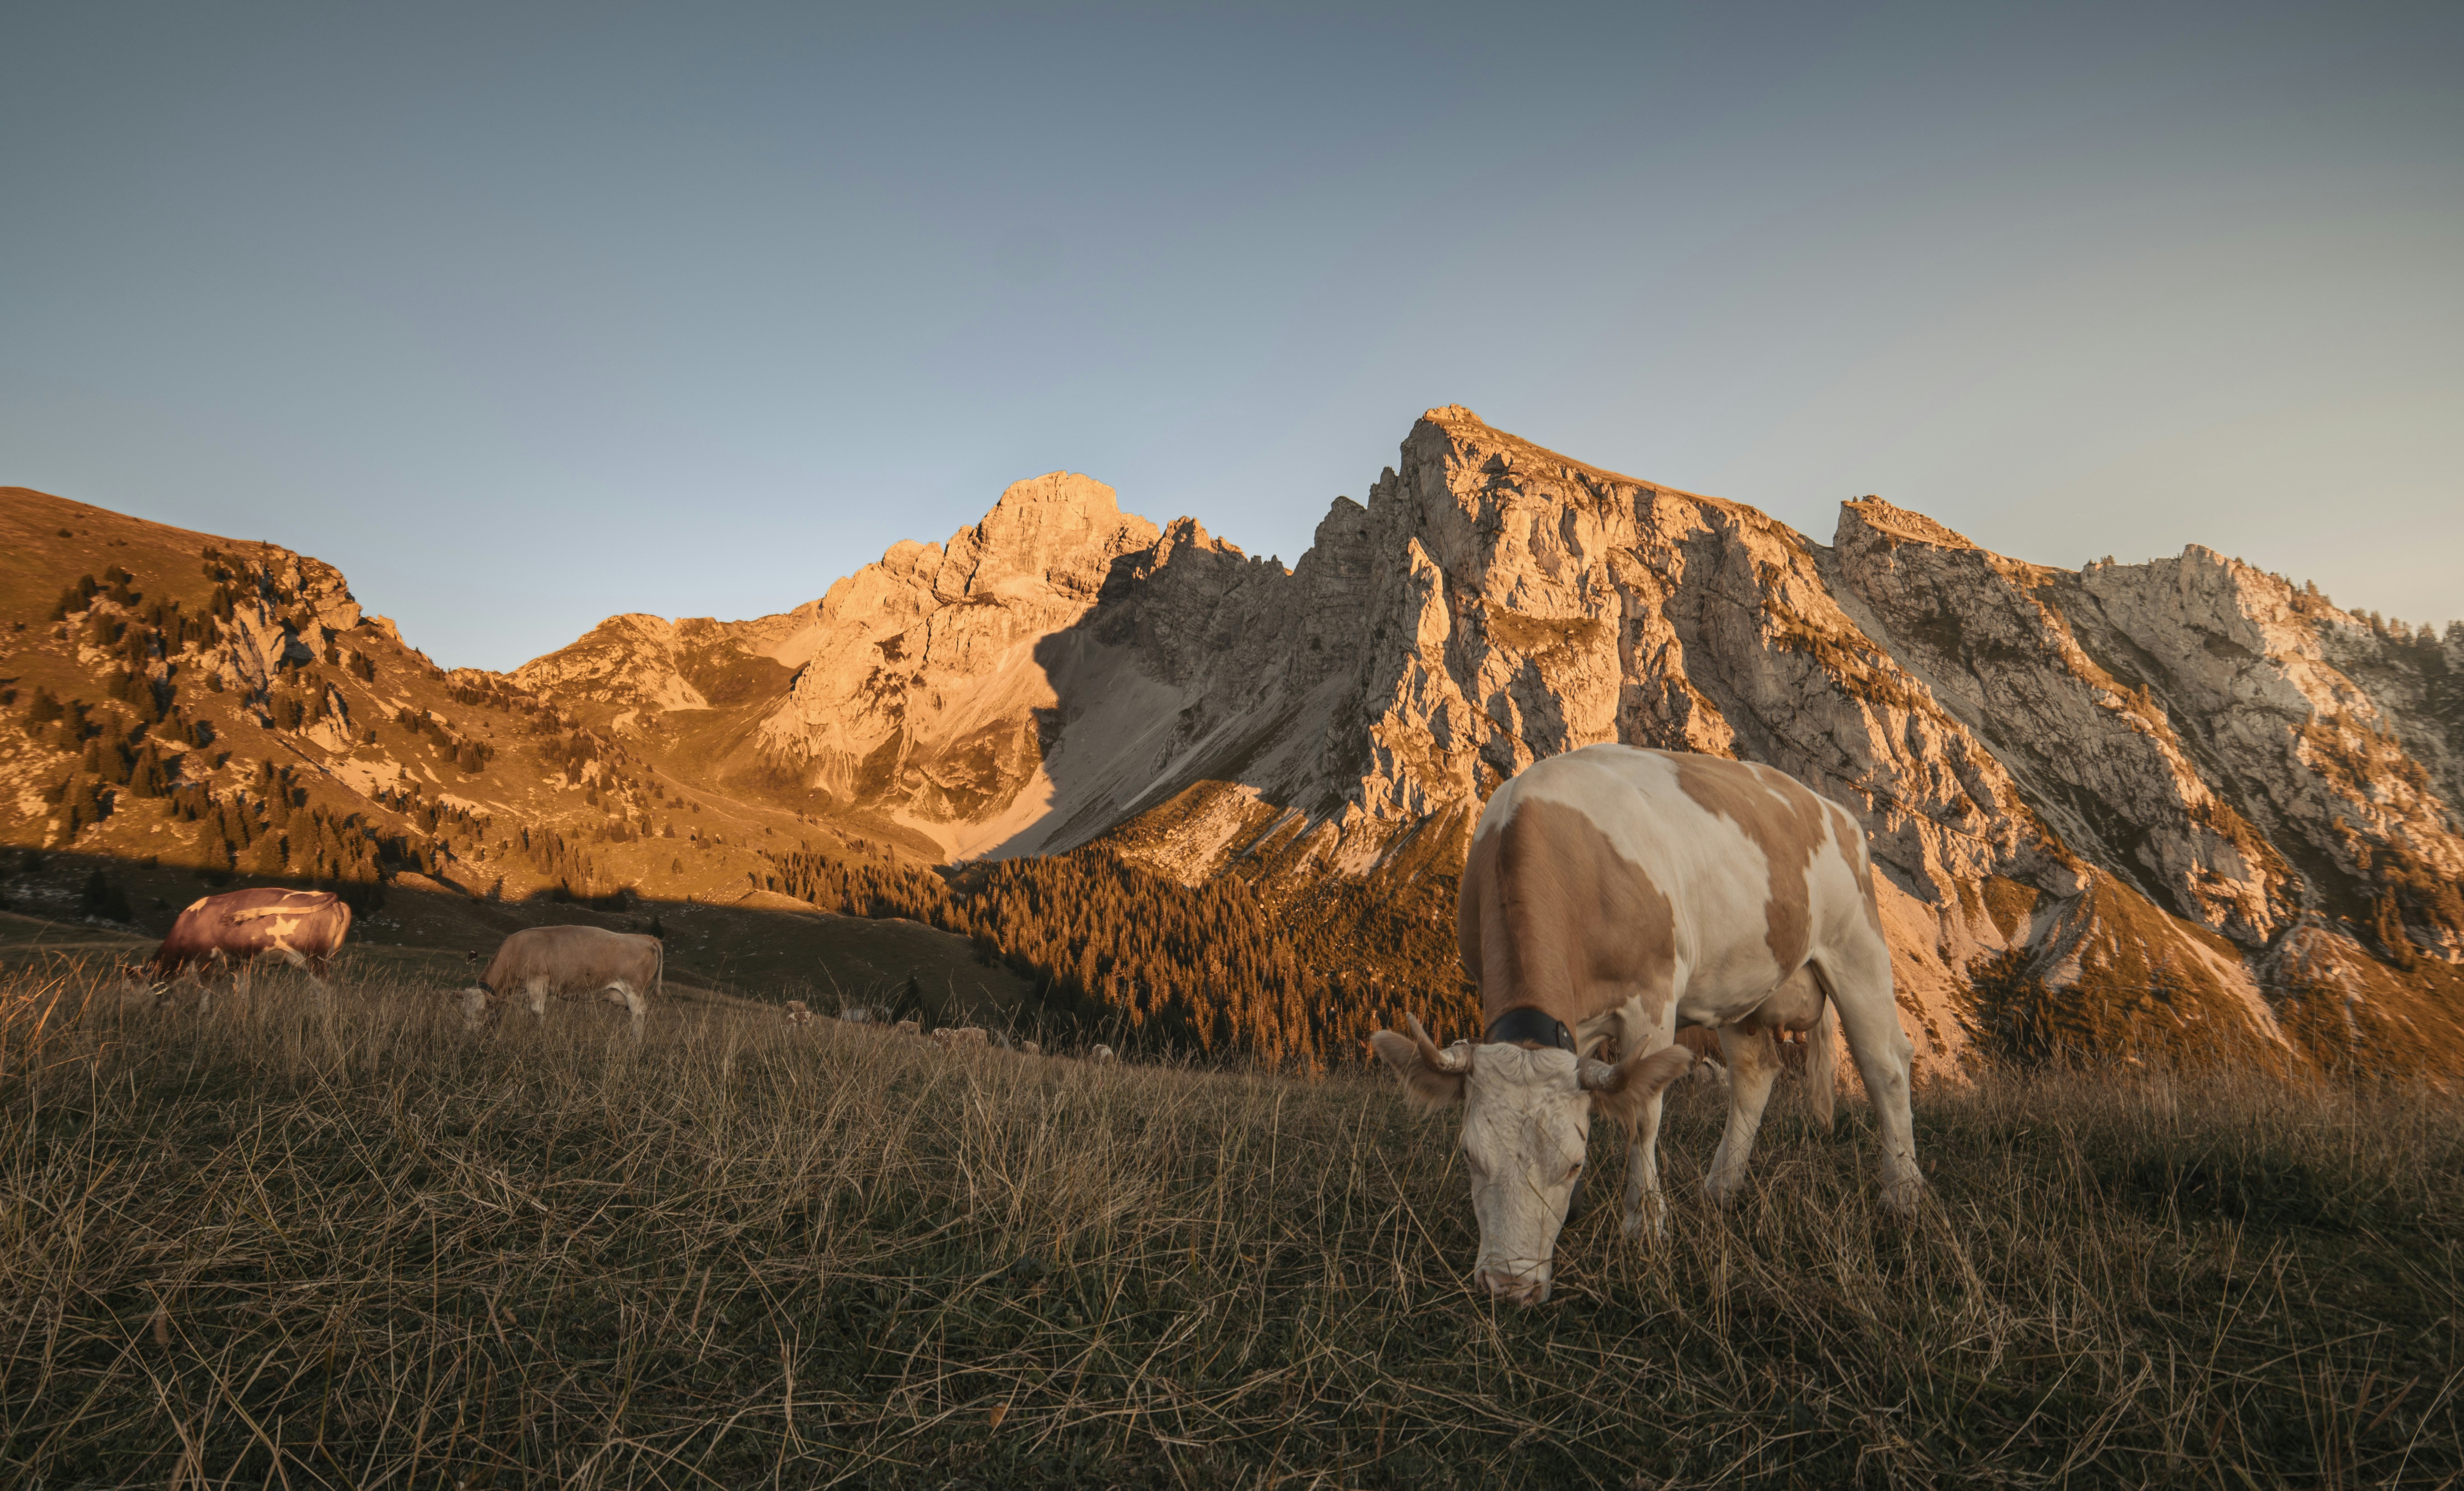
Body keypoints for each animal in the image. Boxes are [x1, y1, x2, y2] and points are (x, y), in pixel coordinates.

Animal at [144, 888, 352, 1004]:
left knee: (325, 992)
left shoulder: (204, 960)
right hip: (326, 958)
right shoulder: (240, 962)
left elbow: (205, 995)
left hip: (314, 960)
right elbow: (242, 992)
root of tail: (324, 896)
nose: (159, 1009)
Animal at [456, 924, 662, 1036]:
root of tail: (647, 938)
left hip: (635, 990)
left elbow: (537, 1012)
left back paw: (635, 1044)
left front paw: (541, 1035)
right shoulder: (522, 992)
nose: (468, 1035)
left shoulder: (538, 983)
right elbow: (523, 1013)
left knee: (639, 1015)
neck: (518, 950)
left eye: (482, 1012)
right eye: (464, 1013)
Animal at [1370, 744, 1922, 1305]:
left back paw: (1902, 1194)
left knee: (1885, 1065)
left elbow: (1641, 1117)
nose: (1509, 1285)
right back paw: (1720, 1188)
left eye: (1573, 1162)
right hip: (1740, 984)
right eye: (1469, 1157)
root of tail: (1831, 809)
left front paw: (1646, 1227)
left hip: (1856, 947)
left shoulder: (1652, 999)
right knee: (1755, 1073)